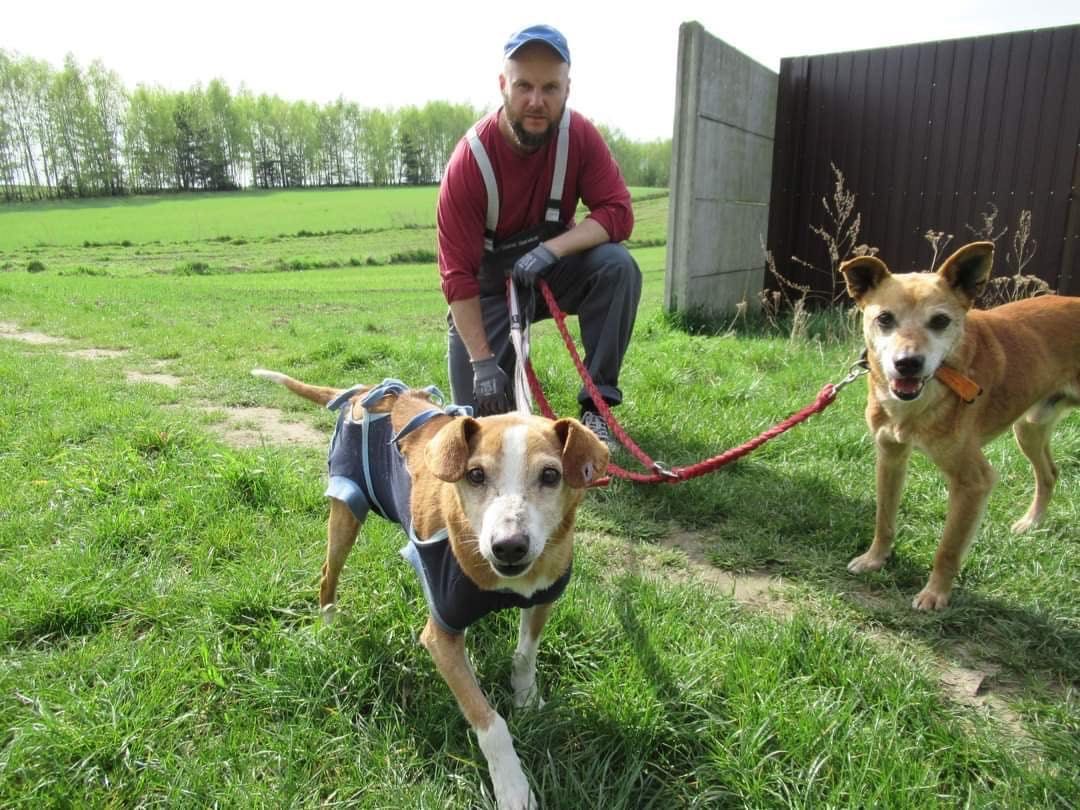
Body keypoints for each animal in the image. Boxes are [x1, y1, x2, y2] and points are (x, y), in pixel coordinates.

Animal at [250, 371, 609, 807]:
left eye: (551, 476)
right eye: (475, 475)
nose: (508, 546)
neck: (505, 582)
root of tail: (362, 392)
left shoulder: (543, 596)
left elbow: (525, 655)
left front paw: (525, 698)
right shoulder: (441, 635)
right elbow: (490, 722)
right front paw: (513, 787)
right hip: (347, 507)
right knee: (326, 575)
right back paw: (329, 625)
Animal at [842, 244, 1080, 613]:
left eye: (940, 321)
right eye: (884, 318)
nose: (907, 363)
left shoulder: (973, 481)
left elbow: (949, 548)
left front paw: (935, 594)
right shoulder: (890, 456)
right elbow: (884, 519)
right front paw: (875, 559)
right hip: (1029, 427)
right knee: (1050, 473)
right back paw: (1031, 523)